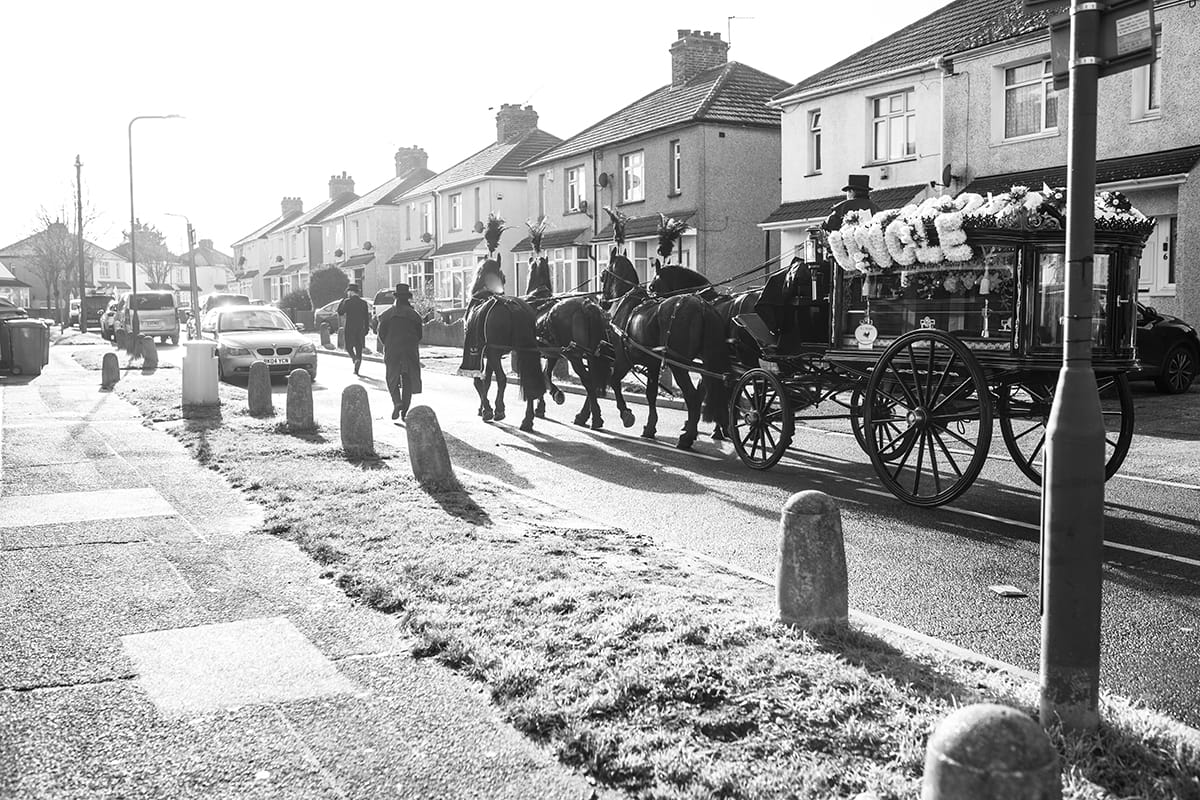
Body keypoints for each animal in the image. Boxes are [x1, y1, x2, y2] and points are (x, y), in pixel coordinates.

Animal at [523, 257, 614, 431]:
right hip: (591, 355)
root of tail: (586, 305)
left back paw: (594, 418)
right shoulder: (553, 354)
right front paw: (543, 404)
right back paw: (587, 415)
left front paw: (552, 395)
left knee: (588, 381)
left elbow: (542, 376)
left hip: (575, 356)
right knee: (593, 381)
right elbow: (546, 374)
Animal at [600, 251, 729, 450]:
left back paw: (687, 437)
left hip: (679, 365)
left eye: (603, 275)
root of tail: (703, 306)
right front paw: (650, 427)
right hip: (707, 362)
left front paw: (626, 414)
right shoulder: (652, 364)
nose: (602, 302)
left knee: (693, 397)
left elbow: (614, 382)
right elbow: (651, 394)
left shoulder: (623, 359)